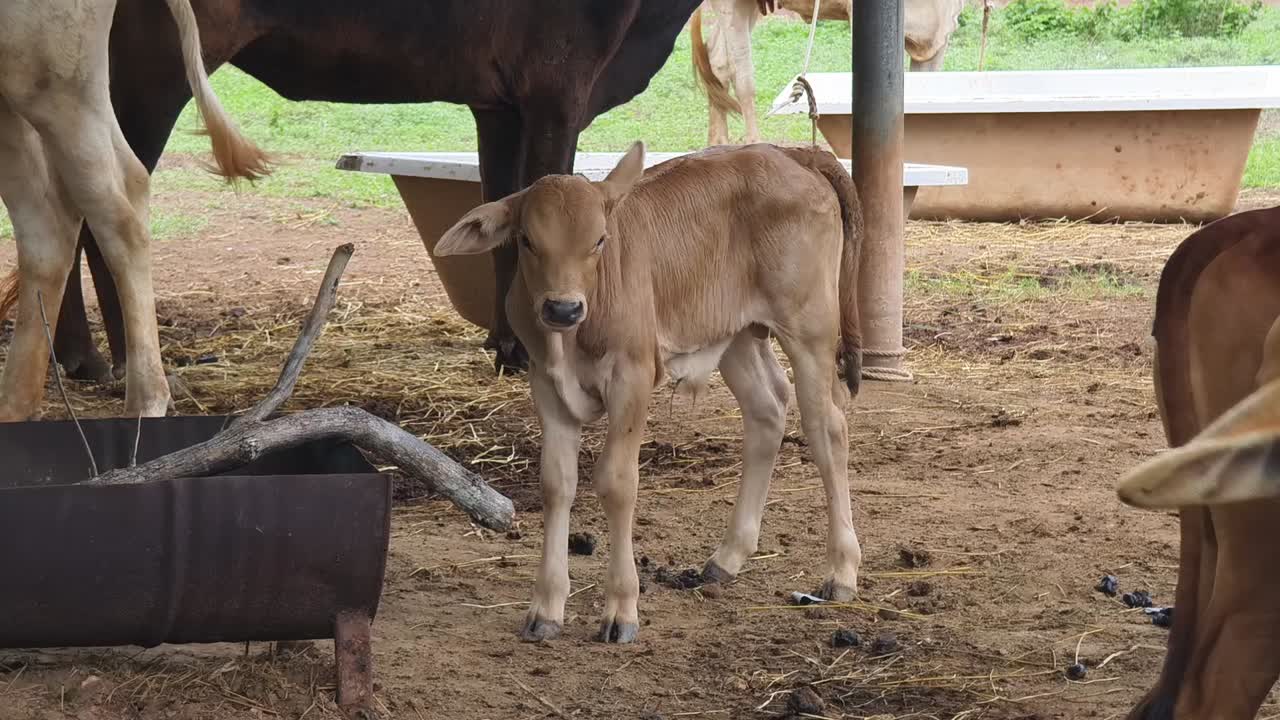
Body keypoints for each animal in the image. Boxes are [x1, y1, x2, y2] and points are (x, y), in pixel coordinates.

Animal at [432, 141, 864, 642]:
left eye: (599, 240)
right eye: (527, 240)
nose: (562, 308)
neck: (573, 336)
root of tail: (791, 152)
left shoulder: (632, 377)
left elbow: (617, 483)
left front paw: (621, 608)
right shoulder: (545, 384)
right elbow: (556, 483)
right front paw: (546, 607)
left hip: (810, 327)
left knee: (827, 428)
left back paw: (841, 570)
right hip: (735, 335)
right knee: (768, 411)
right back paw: (728, 557)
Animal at [690, 0, 964, 146]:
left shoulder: (939, 36)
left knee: (717, 60)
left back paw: (717, 143)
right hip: (732, 6)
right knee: (742, 76)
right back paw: (753, 143)